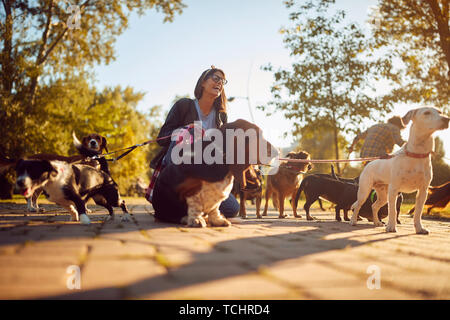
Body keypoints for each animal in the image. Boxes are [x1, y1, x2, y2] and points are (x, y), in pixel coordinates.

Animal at [352, 106, 450, 234]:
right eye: (426, 113)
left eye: (440, 112)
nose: (446, 119)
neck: (417, 154)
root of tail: (370, 163)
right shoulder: (394, 189)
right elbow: (392, 211)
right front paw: (391, 227)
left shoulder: (423, 191)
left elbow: (418, 212)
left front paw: (419, 228)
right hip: (365, 191)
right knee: (358, 205)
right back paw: (353, 220)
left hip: (383, 195)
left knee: (374, 206)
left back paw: (377, 222)